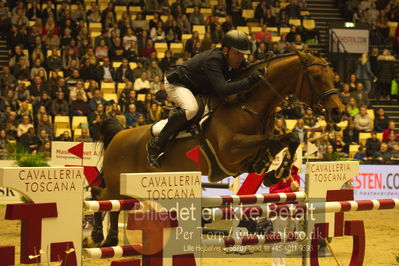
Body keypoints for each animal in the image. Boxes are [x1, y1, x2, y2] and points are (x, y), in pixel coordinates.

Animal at [89, 51, 346, 246]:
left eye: (333, 76)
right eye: (316, 76)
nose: (338, 112)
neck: (247, 104)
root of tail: (119, 135)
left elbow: (288, 137)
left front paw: (273, 173)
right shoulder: (229, 151)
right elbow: (270, 139)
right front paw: (271, 169)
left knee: (113, 204)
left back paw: (111, 239)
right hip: (116, 181)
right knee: (100, 196)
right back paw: (98, 235)